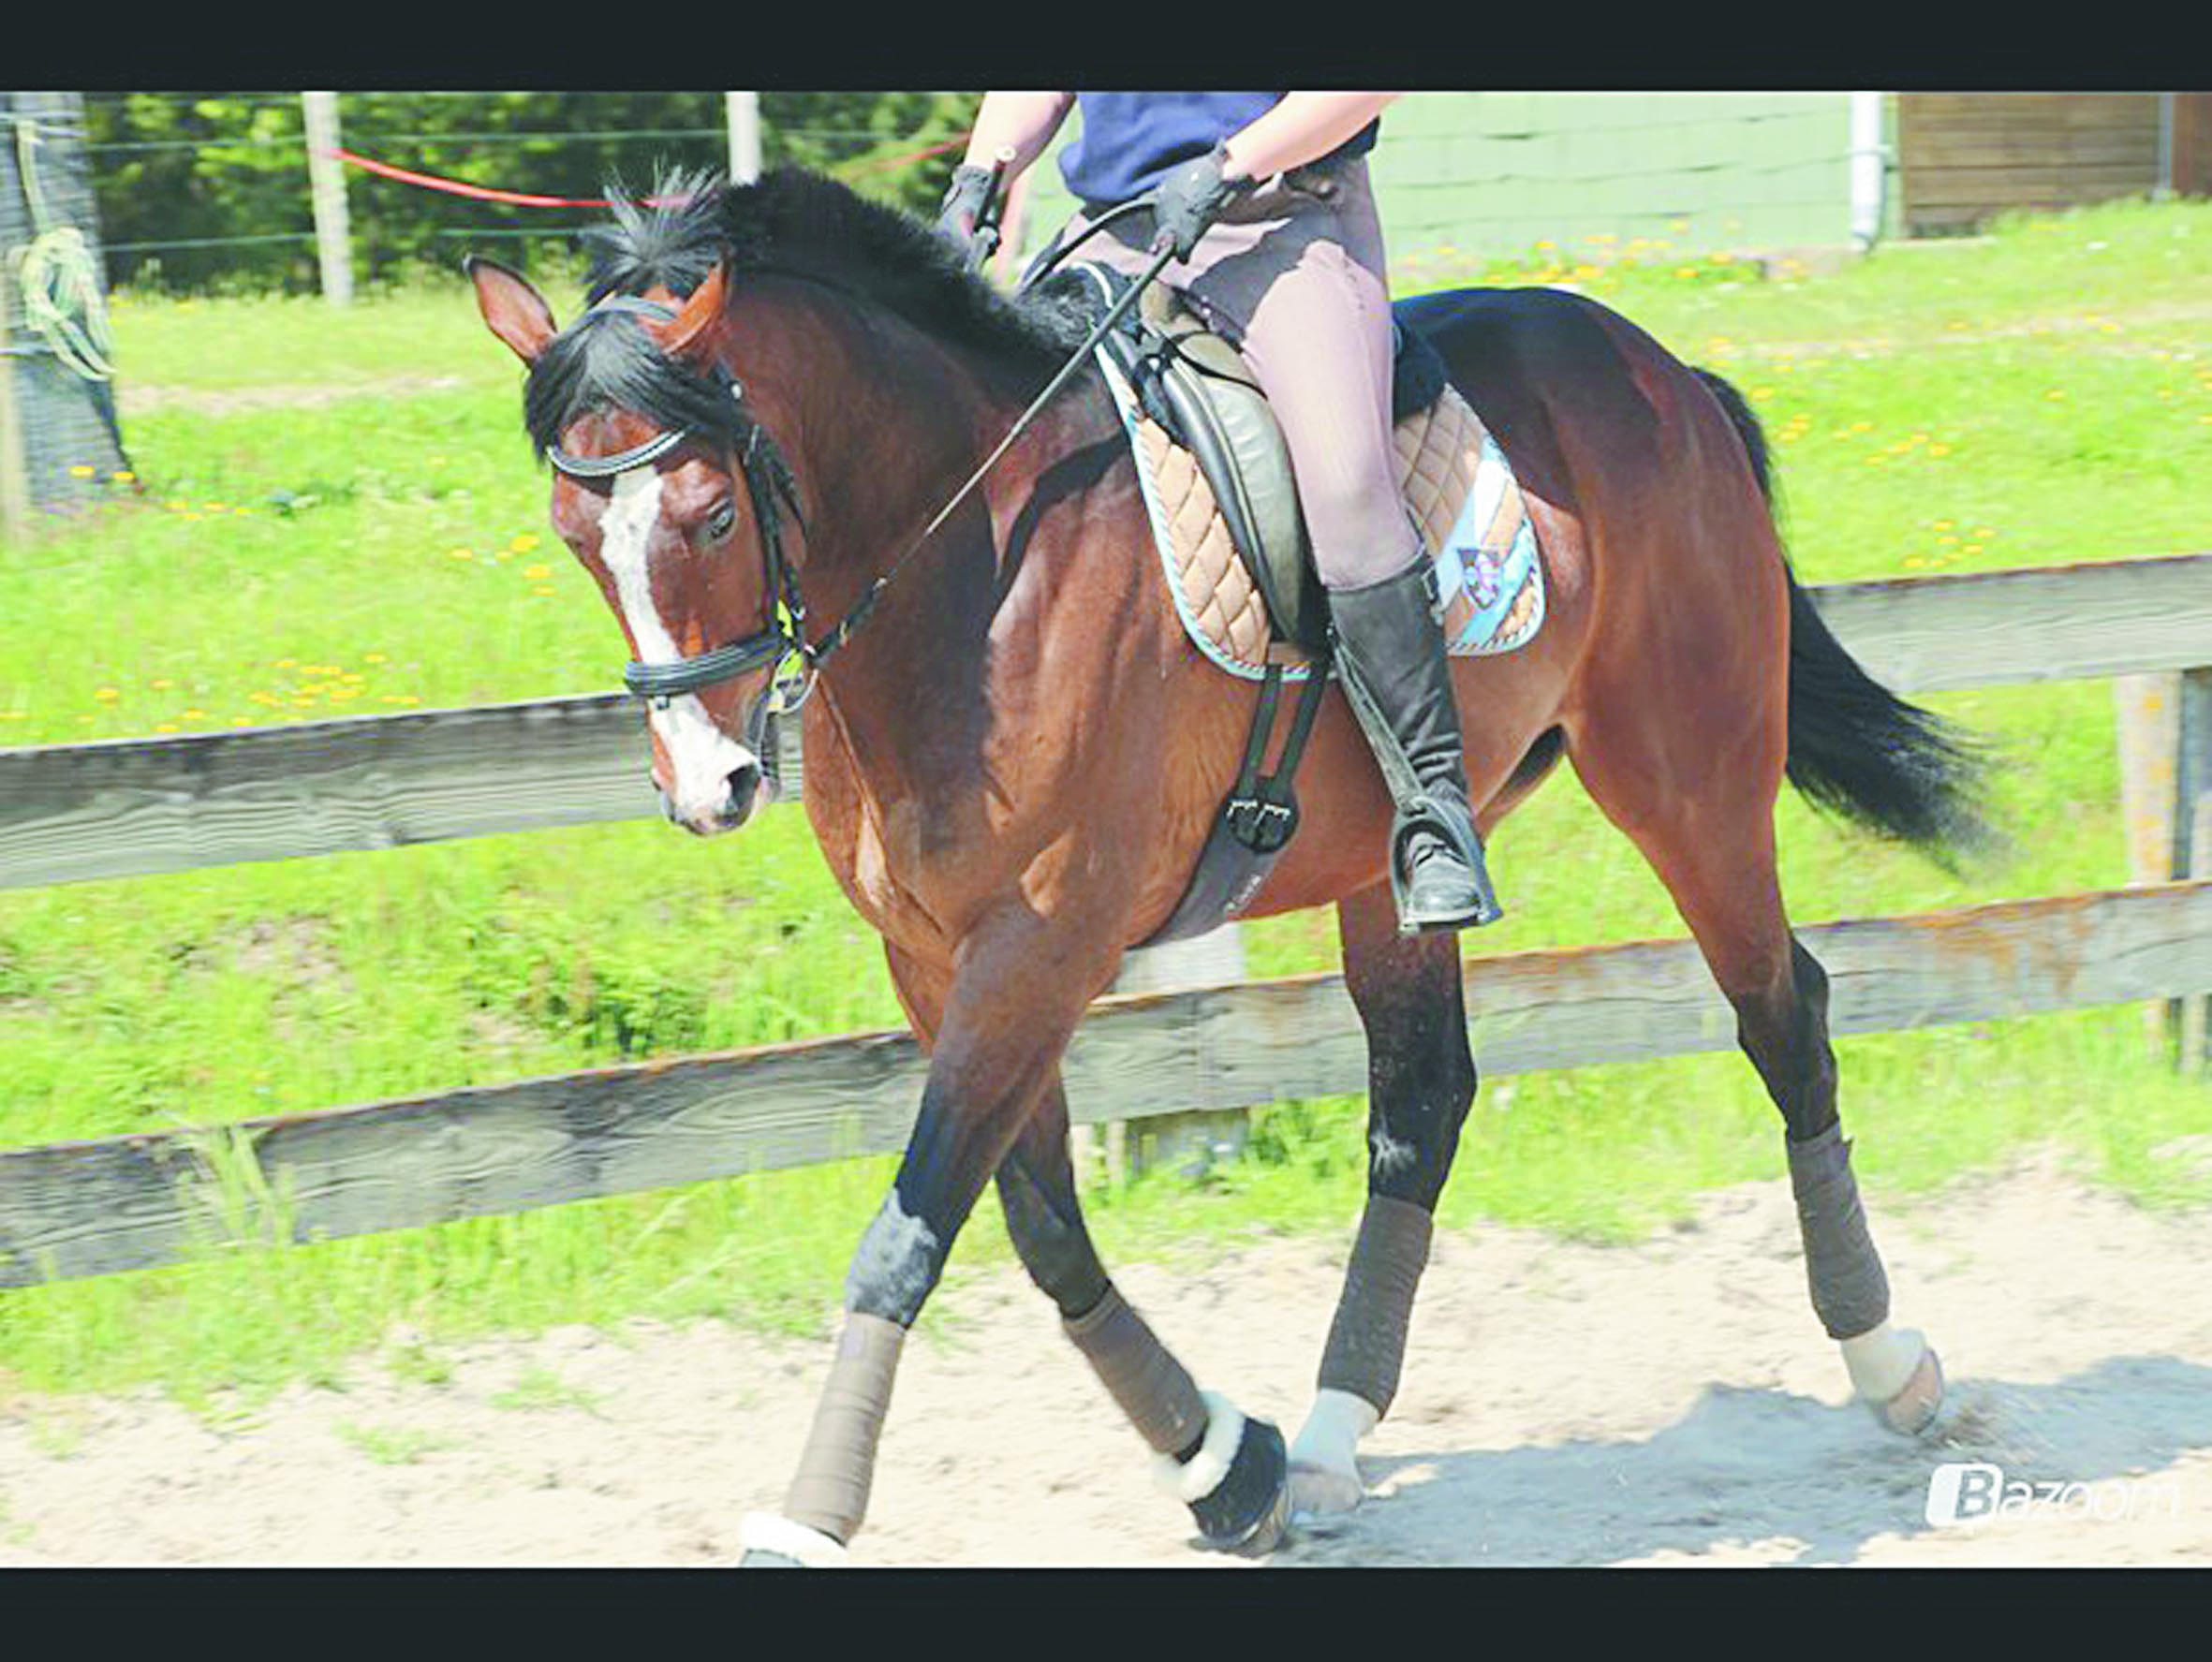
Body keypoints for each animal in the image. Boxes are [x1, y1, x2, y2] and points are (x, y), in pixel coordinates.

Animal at [471, 162, 1990, 1566]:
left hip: (1689, 782)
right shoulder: (937, 959)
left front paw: (805, 1516)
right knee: (1422, 1100)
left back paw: (1893, 1365)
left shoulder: (1040, 946)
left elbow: (911, 1229)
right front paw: (1226, 1466)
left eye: (713, 515)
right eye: (571, 535)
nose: (707, 786)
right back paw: (1322, 1443)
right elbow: (1040, 1227)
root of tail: (1667, 373)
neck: (976, 563)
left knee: (1783, 1019)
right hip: (1391, 869)